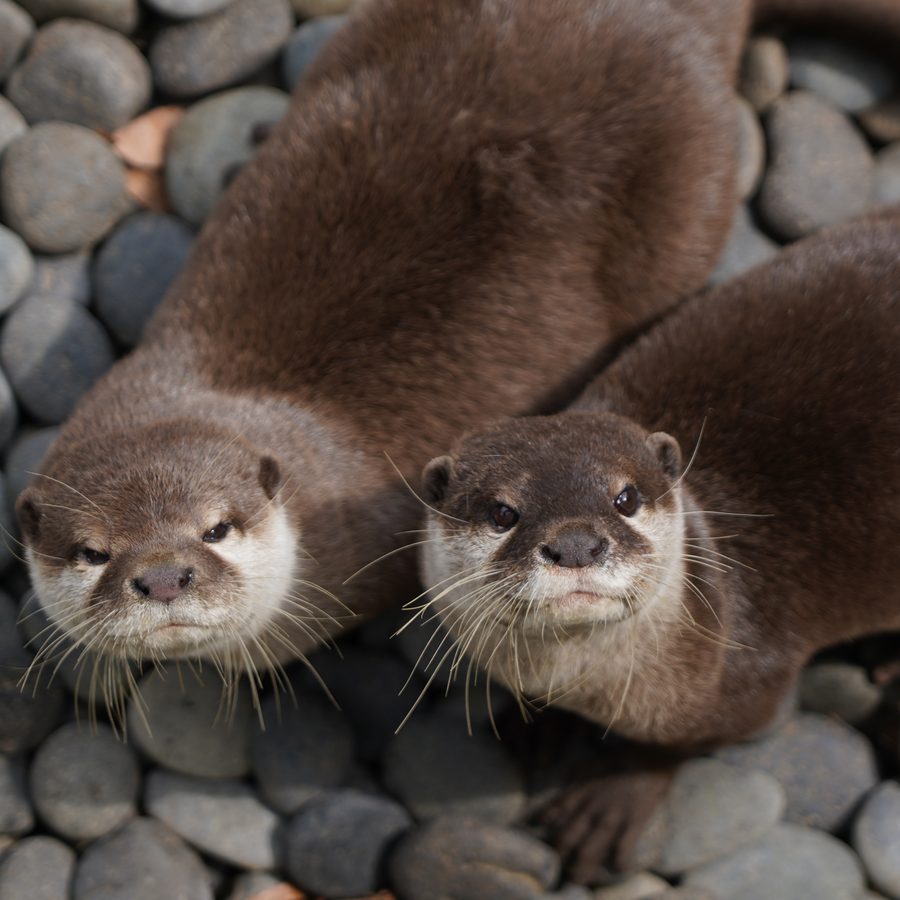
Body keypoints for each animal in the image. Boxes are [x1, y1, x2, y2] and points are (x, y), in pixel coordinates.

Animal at [419, 210, 900, 882]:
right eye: (502, 512)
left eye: (624, 498)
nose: (576, 543)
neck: (585, 688)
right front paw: (536, 729)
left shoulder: (750, 685)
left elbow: (678, 744)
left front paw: (611, 799)